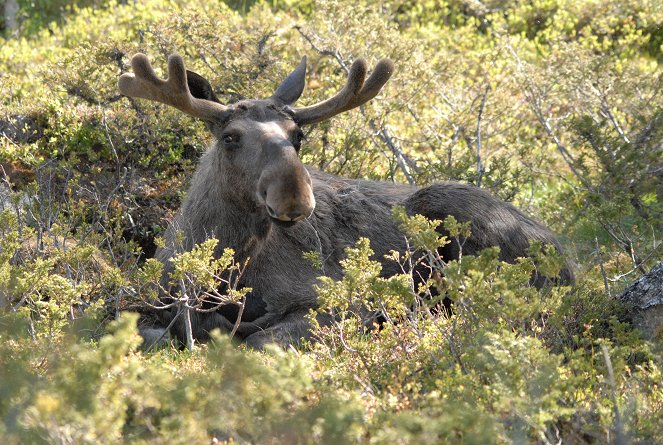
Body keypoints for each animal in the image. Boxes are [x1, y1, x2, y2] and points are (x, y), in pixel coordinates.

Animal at [120, 52, 576, 348]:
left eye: (298, 135)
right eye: (230, 137)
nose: (294, 197)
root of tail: (566, 257)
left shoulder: (334, 301)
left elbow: (258, 341)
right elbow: (152, 331)